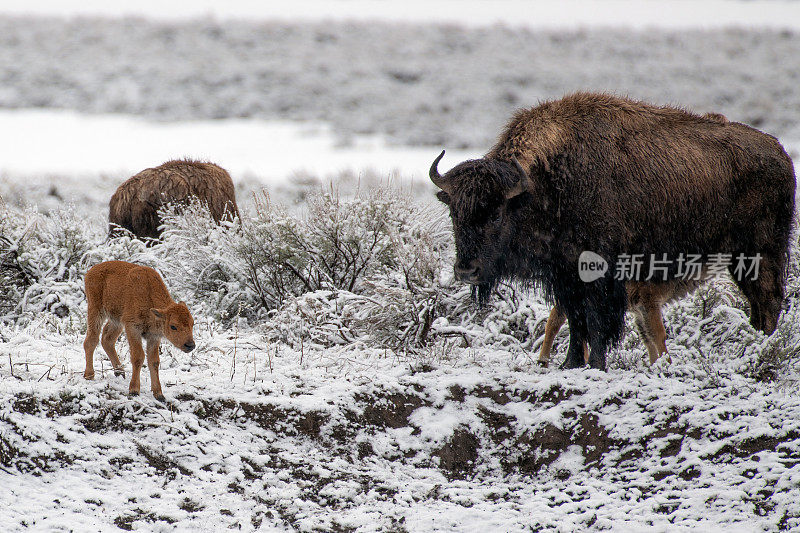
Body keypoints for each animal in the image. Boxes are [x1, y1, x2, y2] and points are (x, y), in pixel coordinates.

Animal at [83, 260, 197, 402]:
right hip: (96, 310)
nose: (190, 345)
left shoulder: (153, 336)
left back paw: (120, 372)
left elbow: (154, 361)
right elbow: (138, 357)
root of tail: (91, 271)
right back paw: (89, 375)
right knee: (91, 340)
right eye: (173, 326)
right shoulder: (133, 328)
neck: (149, 295)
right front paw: (134, 390)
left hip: (116, 320)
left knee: (107, 339)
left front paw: (159, 394)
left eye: (192, 323)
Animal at [432, 91, 792, 370]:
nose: (466, 270)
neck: (544, 183)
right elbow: (576, 322)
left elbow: (596, 323)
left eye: (495, 214)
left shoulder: (601, 276)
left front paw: (594, 364)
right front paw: (570, 364)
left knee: (768, 302)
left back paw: (761, 351)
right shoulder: (565, 276)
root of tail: (779, 151)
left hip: (759, 255)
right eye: (454, 212)